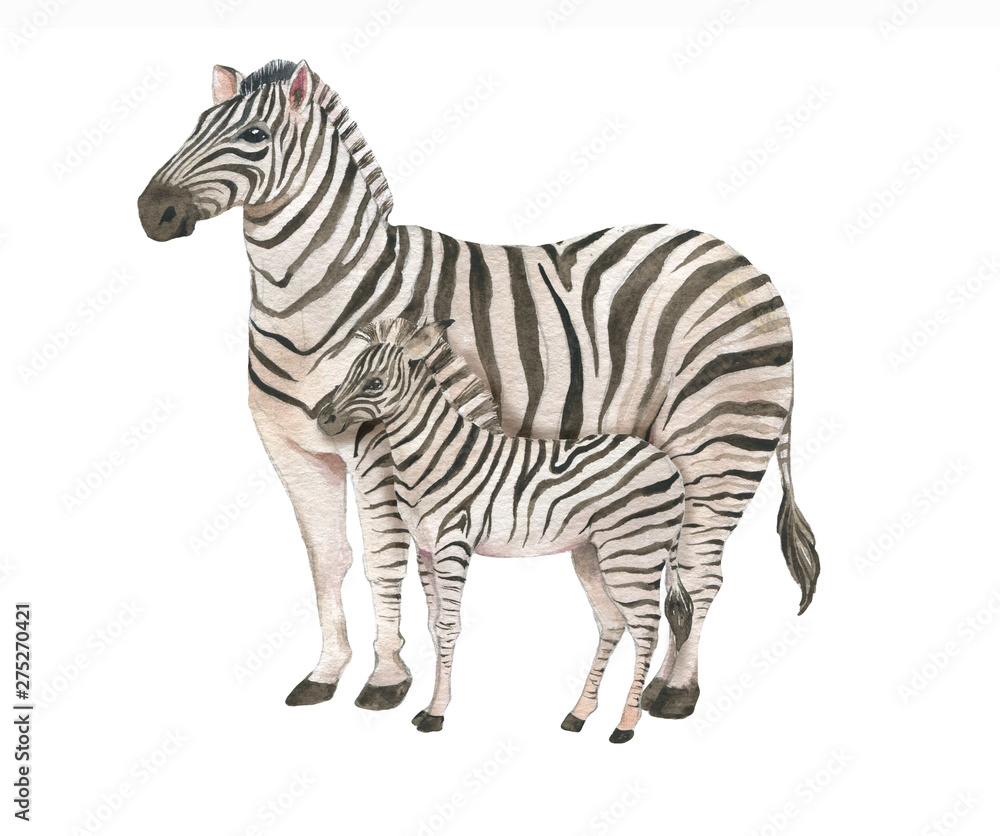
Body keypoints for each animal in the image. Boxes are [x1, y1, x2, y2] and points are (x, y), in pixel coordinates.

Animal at [316, 318, 693, 742]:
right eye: (349, 373)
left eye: (375, 383)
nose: (323, 420)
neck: (436, 456)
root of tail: (668, 463)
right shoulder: (425, 548)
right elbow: (433, 626)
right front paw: (427, 706)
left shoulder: (452, 543)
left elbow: (448, 626)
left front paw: (436, 713)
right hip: (591, 553)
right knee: (613, 622)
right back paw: (578, 714)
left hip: (632, 553)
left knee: (647, 629)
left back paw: (625, 724)